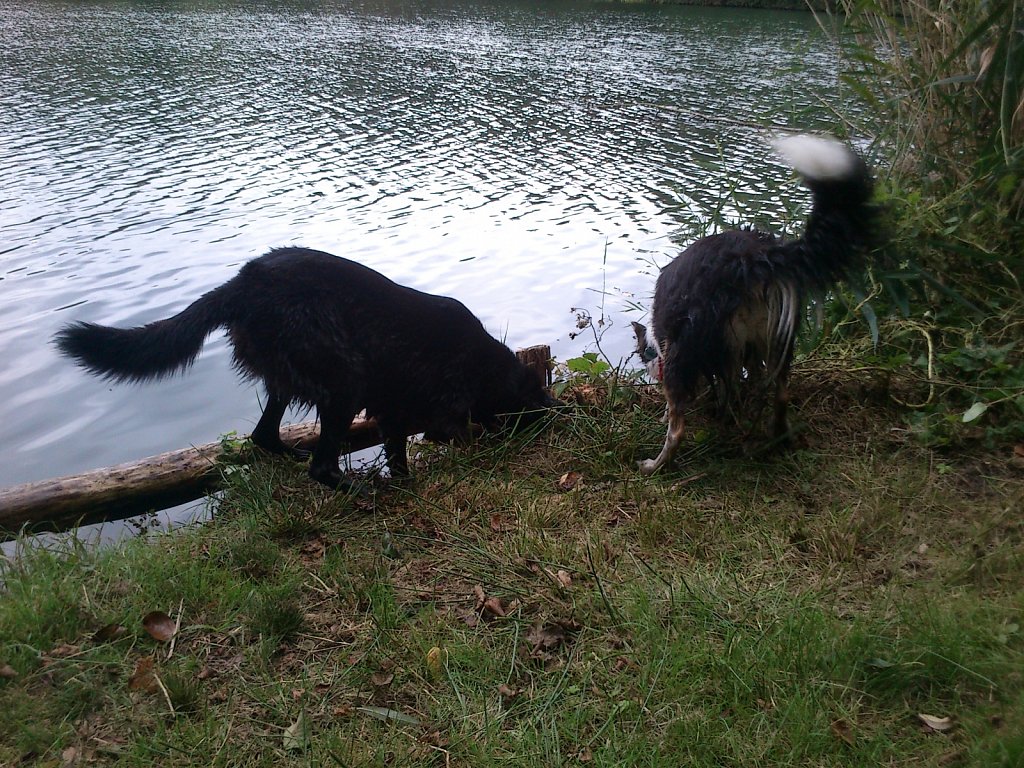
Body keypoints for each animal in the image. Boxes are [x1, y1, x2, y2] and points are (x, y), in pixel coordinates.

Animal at [54, 246, 561, 487]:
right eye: (536, 395)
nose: (561, 414)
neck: (482, 362)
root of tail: (242, 285)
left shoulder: (393, 414)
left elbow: (398, 453)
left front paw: (405, 480)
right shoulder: (443, 414)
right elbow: (462, 434)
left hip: (289, 380)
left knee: (264, 436)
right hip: (344, 383)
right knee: (321, 468)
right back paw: (363, 491)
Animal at [634, 137, 876, 475]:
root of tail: (748, 258)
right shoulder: (741, 352)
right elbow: (737, 387)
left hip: (686, 352)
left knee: (677, 430)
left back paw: (654, 465)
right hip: (777, 340)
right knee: (782, 394)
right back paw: (775, 440)